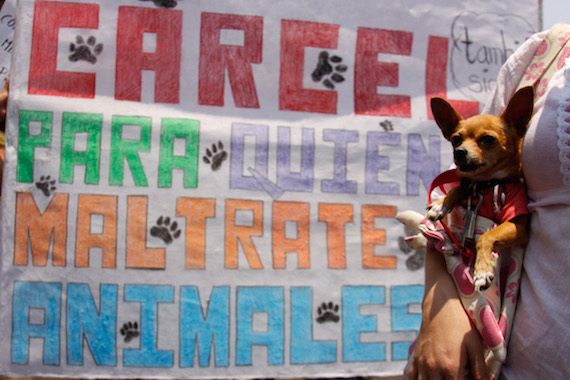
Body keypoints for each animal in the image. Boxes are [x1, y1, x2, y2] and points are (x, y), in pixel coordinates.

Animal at [426, 85, 532, 288]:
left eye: (488, 139)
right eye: (455, 139)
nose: (459, 152)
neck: (485, 186)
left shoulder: (519, 225)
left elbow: (486, 236)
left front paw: (482, 270)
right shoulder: (468, 184)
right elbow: (459, 186)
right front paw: (440, 204)